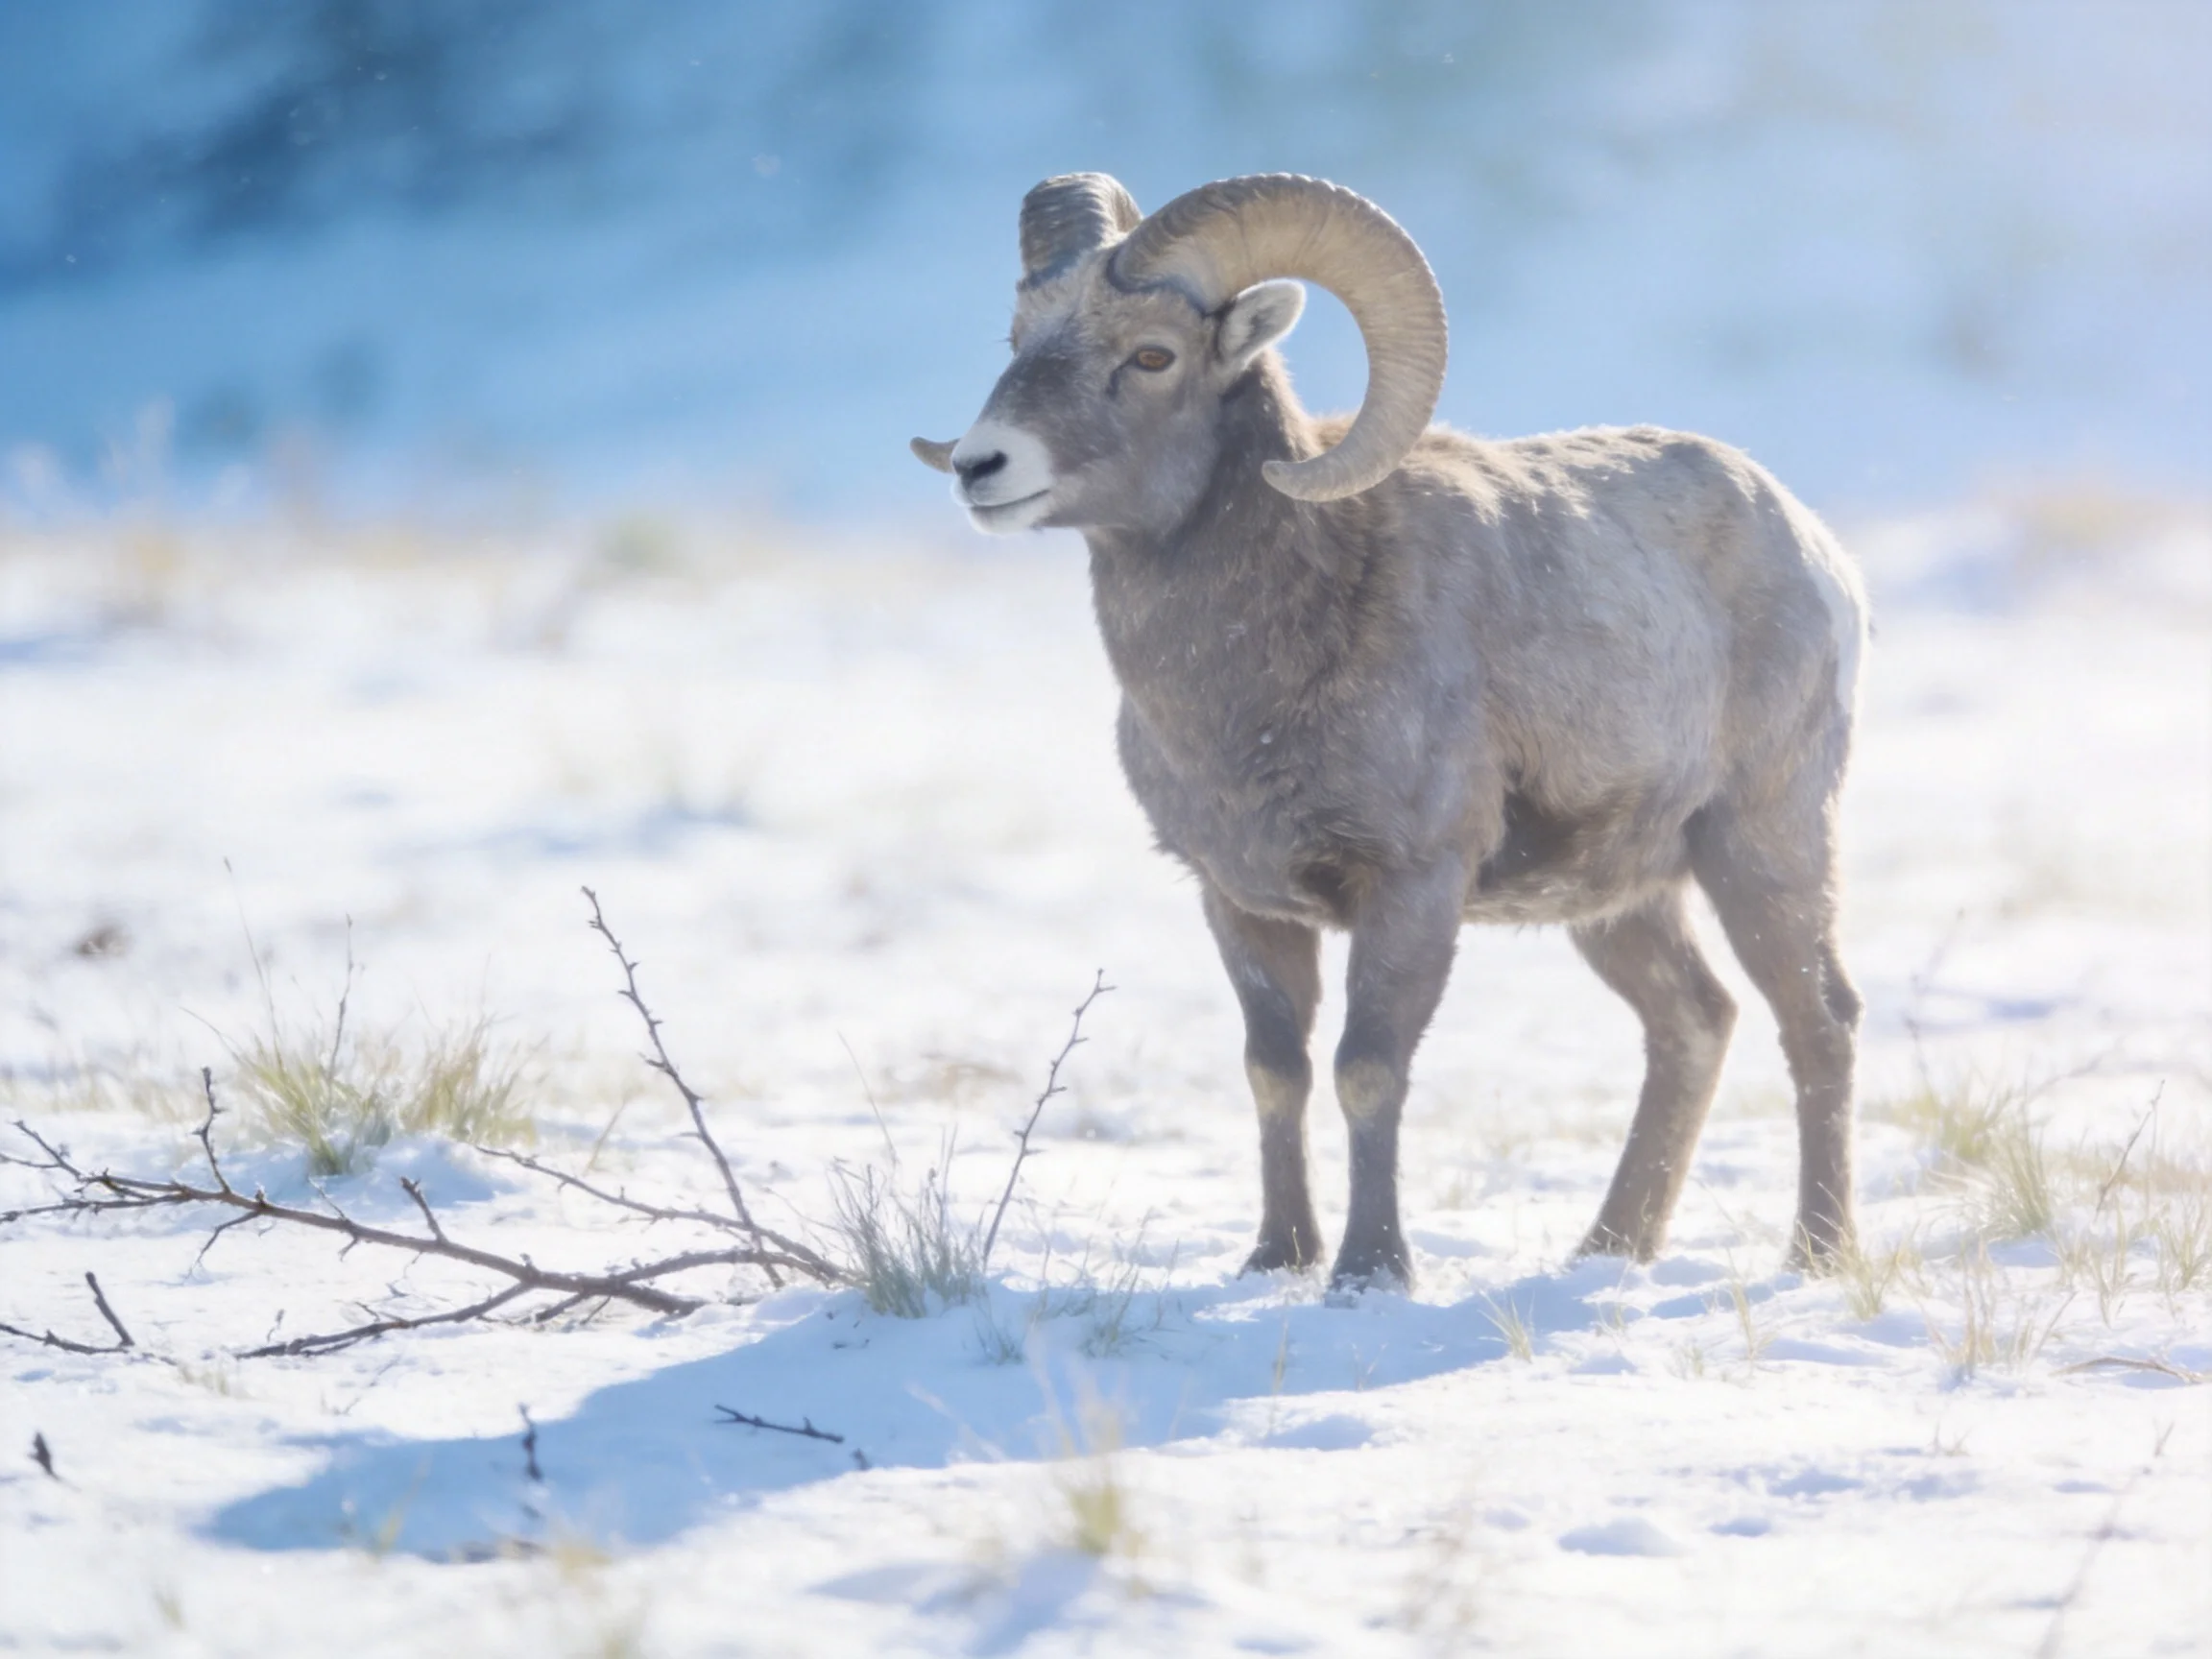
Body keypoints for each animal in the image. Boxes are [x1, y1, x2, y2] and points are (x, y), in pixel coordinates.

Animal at [913, 173, 1868, 1291]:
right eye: (1021, 337)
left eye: (1152, 355)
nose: (982, 465)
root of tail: (1811, 545)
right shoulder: (1240, 906)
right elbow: (1275, 1073)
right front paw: (1276, 1259)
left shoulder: (1411, 888)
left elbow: (1368, 1070)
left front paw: (1371, 1272)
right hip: (1619, 900)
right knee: (1694, 1024)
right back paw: (1607, 1252)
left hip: (1764, 846)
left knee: (1819, 1022)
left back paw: (1816, 1258)